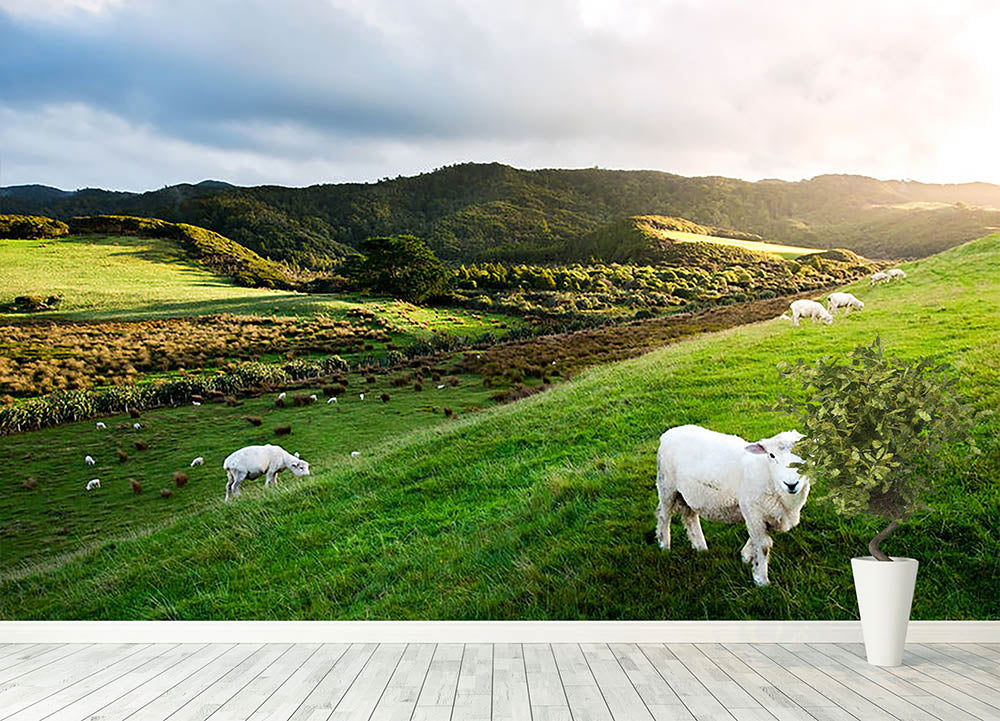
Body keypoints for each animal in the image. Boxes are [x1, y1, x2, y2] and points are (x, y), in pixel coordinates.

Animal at [655, 425, 809, 587]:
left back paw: (701, 548)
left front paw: (746, 557)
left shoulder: (767, 515)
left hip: (690, 493)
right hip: (666, 485)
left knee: (690, 517)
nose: (791, 484)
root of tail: (669, 432)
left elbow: (756, 540)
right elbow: (763, 545)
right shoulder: (752, 511)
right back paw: (664, 546)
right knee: (664, 515)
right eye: (772, 456)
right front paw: (761, 580)